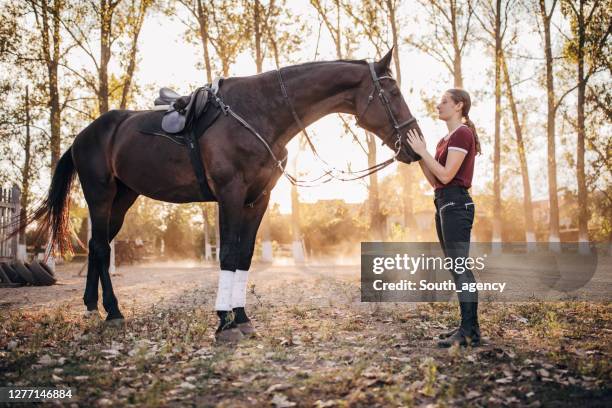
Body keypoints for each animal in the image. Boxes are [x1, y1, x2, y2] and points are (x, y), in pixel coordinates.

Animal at [27, 47, 420, 342]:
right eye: (393, 93)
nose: (414, 144)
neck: (259, 114)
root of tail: (85, 134)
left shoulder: (258, 199)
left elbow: (243, 256)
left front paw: (242, 318)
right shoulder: (230, 195)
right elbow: (228, 254)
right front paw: (223, 321)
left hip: (124, 199)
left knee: (100, 246)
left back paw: (94, 306)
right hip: (101, 195)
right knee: (99, 246)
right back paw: (113, 311)